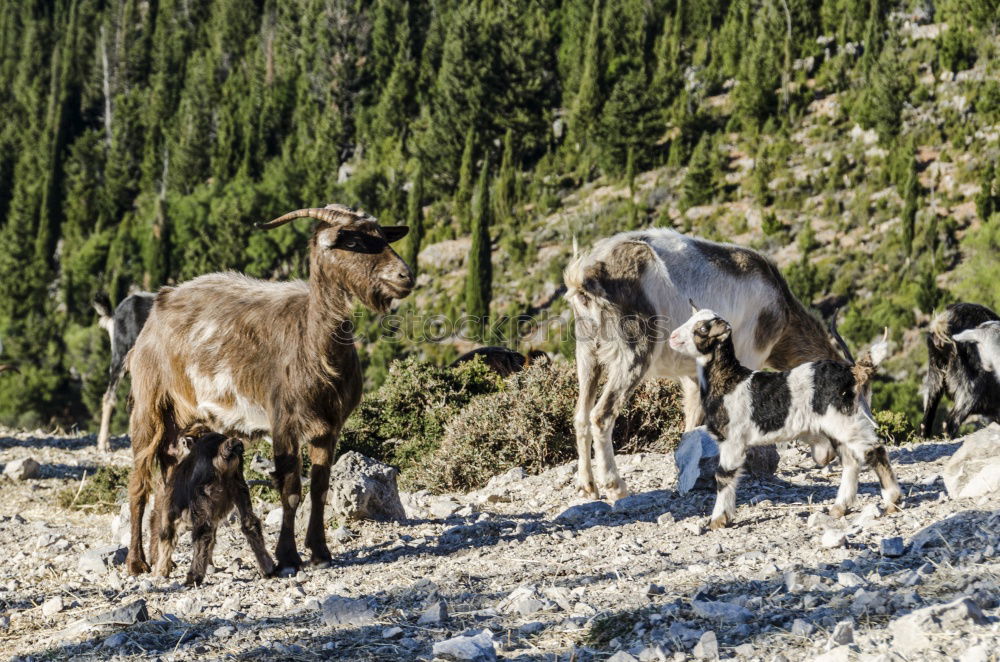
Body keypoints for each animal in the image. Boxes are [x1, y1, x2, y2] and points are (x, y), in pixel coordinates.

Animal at [126, 206, 414, 576]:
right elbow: (290, 490)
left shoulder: (329, 427)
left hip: (183, 420)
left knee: (167, 480)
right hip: (149, 404)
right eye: (351, 241)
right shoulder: (283, 422)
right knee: (139, 482)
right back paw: (137, 562)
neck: (314, 347)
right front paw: (288, 556)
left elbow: (319, 488)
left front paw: (320, 552)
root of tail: (158, 306)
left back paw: (167, 558)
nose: (405, 276)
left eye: (380, 235)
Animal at [668, 308, 904, 532]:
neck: (729, 381)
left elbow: (723, 476)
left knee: (874, 451)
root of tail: (852, 373)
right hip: (840, 427)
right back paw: (839, 507)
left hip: (847, 423)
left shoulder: (733, 440)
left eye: (703, 329)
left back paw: (892, 501)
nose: (672, 337)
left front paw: (718, 520)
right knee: (851, 461)